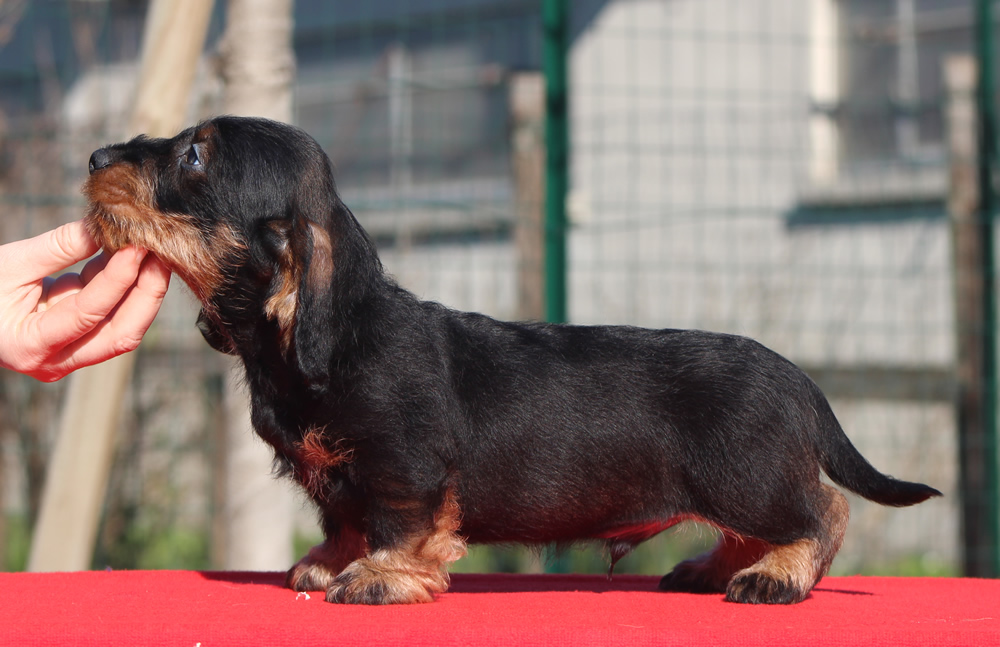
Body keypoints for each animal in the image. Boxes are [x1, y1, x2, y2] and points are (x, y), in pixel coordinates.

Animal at [82, 117, 940, 608]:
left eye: (194, 155)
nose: (92, 155)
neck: (331, 334)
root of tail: (800, 378)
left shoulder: (403, 467)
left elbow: (398, 523)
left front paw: (385, 575)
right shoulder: (341, 482)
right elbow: (342, 520)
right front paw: (326, 563)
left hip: (744, 476)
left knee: (823, 511)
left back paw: (779, 573)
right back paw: (710, 565)